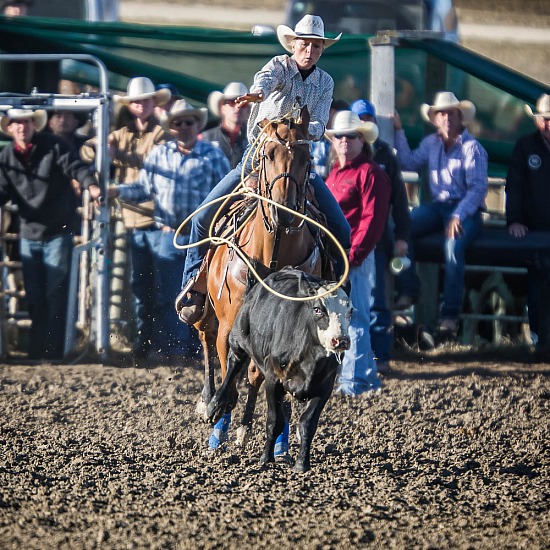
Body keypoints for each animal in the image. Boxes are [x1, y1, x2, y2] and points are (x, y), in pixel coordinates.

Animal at [194, 106, 332, 448]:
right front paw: (218, 413)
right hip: (205, 310)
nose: (283, 210)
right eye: (268, 154)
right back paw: (208, 401)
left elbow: (258, 373)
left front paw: (251, 428)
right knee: (206, 341)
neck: (272, 255)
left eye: (307, 158)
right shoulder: (228, 323)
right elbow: (227, 361)